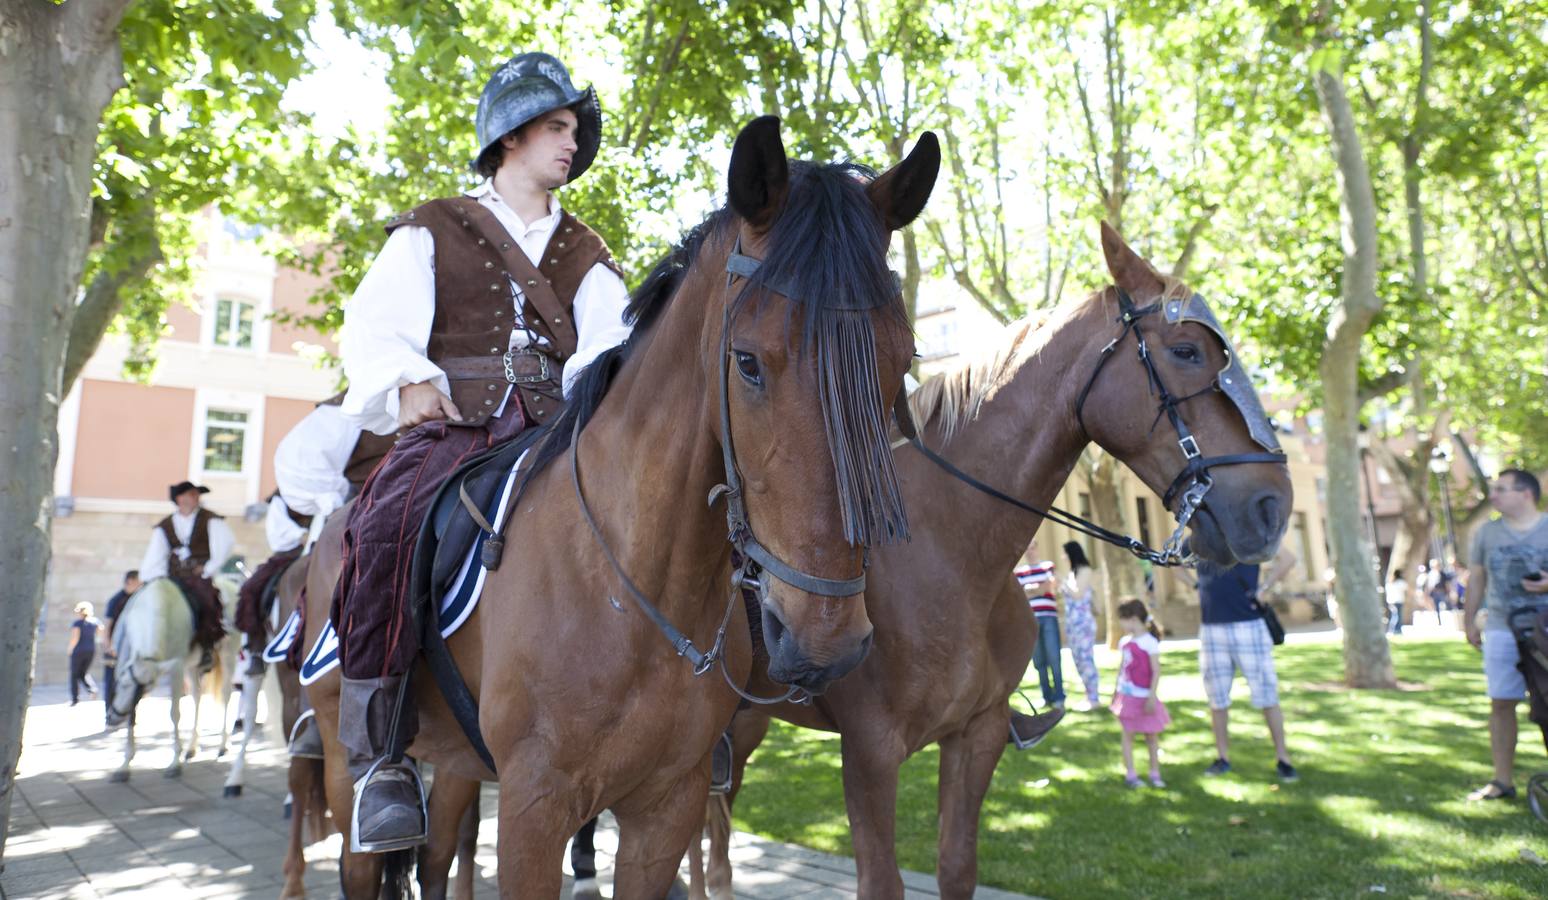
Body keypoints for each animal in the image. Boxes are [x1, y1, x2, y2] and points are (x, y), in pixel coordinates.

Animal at [104, 576, 239, 777]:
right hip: (192, 667)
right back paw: (192, 748)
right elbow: (133, 716)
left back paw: (223, 745)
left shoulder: (176, 669)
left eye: (143, 689)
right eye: (122, 682)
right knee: (197, 697)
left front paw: (175, 763)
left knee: (226, 695)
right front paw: (125, 765)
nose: (113, 718)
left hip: (228, 656)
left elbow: (174, 714)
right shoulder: (125, 660)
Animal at [295, 116, 934, 892]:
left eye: (900, 363)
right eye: (748, 362)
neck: (633, 592)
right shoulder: (534, 812)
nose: (826, 642)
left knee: (439, 858)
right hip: (343, 765)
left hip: (454, 767)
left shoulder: (666, 809)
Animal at [702, 221, 1294, 892]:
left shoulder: (976, 736)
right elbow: (881, 880)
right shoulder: (870, 753)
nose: (1273, 505)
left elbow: (957, 866)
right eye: (1188, 352)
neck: (952, 554)